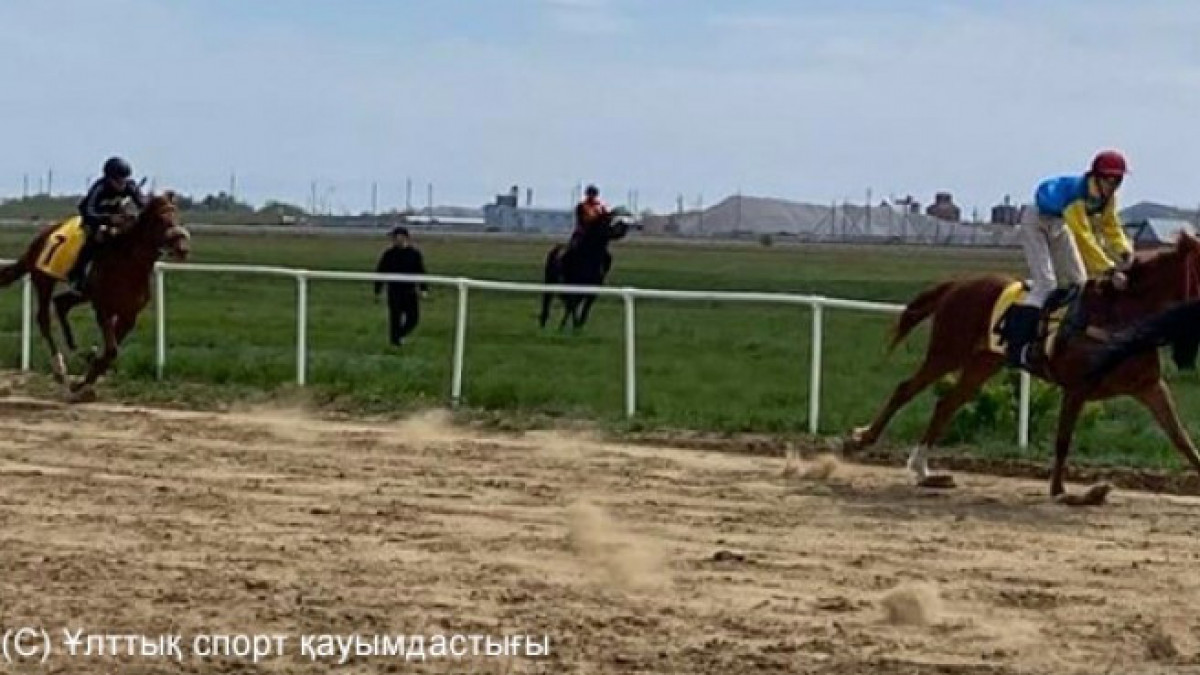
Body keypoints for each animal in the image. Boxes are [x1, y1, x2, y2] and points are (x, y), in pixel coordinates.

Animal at [0, 189, 188, 396]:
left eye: (176, 216)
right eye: (161, 219)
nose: (182, 247)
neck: (129, 264)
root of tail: (39, 239)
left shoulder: (129, 314)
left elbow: (110, 351)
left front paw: (83, 382)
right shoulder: (103, 308)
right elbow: (112, 350)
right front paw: (83, 382)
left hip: (82, 293)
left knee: (61, 303)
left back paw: (79, 350)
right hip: (43, 279)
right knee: (44, 319)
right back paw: (60, 369)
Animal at [844, 230, 1200, 499]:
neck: (1121, 319)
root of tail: (956, 284)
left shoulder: (1149, 386)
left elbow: (1181, 438)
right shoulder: (1077, 387)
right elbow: (1062, 440)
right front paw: (1063, 492)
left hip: (982, 363)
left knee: (947, 403)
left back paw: (923, 471)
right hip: (947, 352)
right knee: (906, 389)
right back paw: (862, 439)